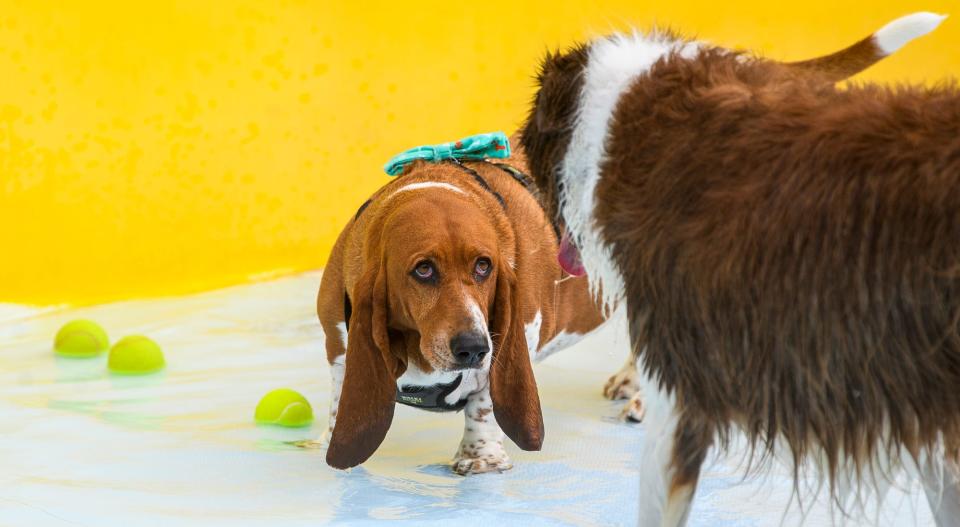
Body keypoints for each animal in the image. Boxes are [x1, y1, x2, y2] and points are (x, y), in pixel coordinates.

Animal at [316, 143, 608, 474]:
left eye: (483, 266)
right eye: (424, 269)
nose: (474, 347)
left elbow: (486, 404)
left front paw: (481, 455)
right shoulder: (337, 346)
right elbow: (340, 393)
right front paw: (330, 438)